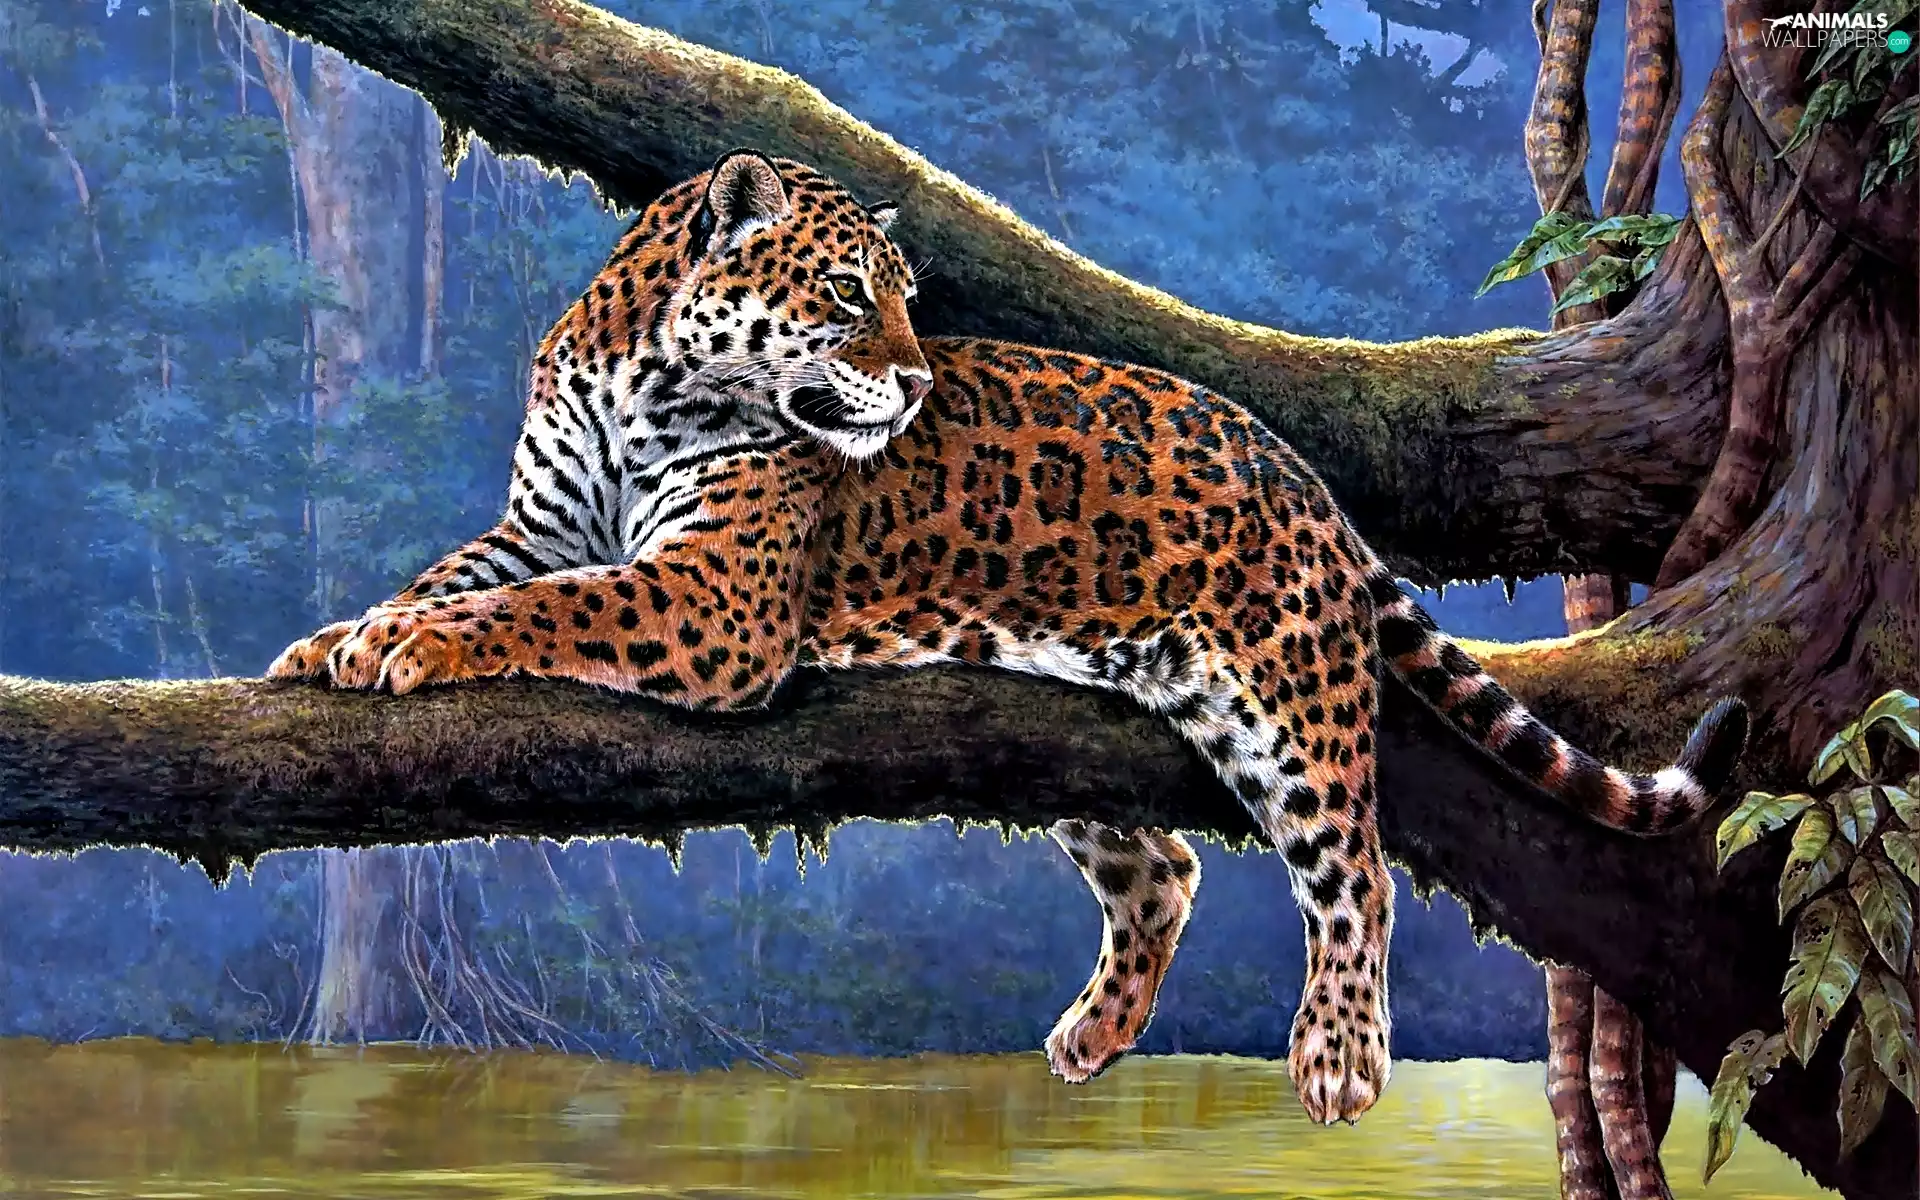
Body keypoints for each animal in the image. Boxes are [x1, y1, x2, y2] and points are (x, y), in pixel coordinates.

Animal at [268, 150, 1748, 1125]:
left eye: (909, 299)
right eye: (848, 296)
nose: (921, 380)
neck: (647, 384)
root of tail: (1297, 466)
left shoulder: (712, 596)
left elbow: (546, 606)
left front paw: (402, 650)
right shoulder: (542, 522)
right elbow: (467, 574)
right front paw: (335, 636)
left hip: (1290, 699)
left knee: (1355, 870)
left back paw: (1336, 1056)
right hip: (1071, 720)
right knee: (1166, 870)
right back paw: (1091, 1037)